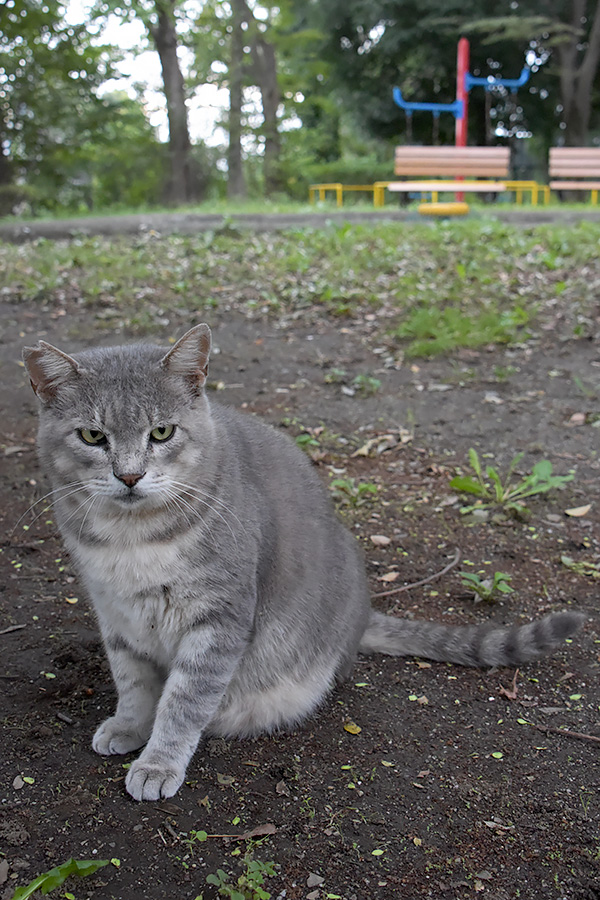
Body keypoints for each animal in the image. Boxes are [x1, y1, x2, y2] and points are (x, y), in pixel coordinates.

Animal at [22, 328, 580, 800]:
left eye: (161, 432)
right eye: (93, 437)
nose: (130, 476)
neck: (130, 539)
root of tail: (361, 617)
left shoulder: (219, 617)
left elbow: (183, 701)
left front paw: (158, 762)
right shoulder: (115, 613)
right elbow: (133, 682)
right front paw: (129, 726)